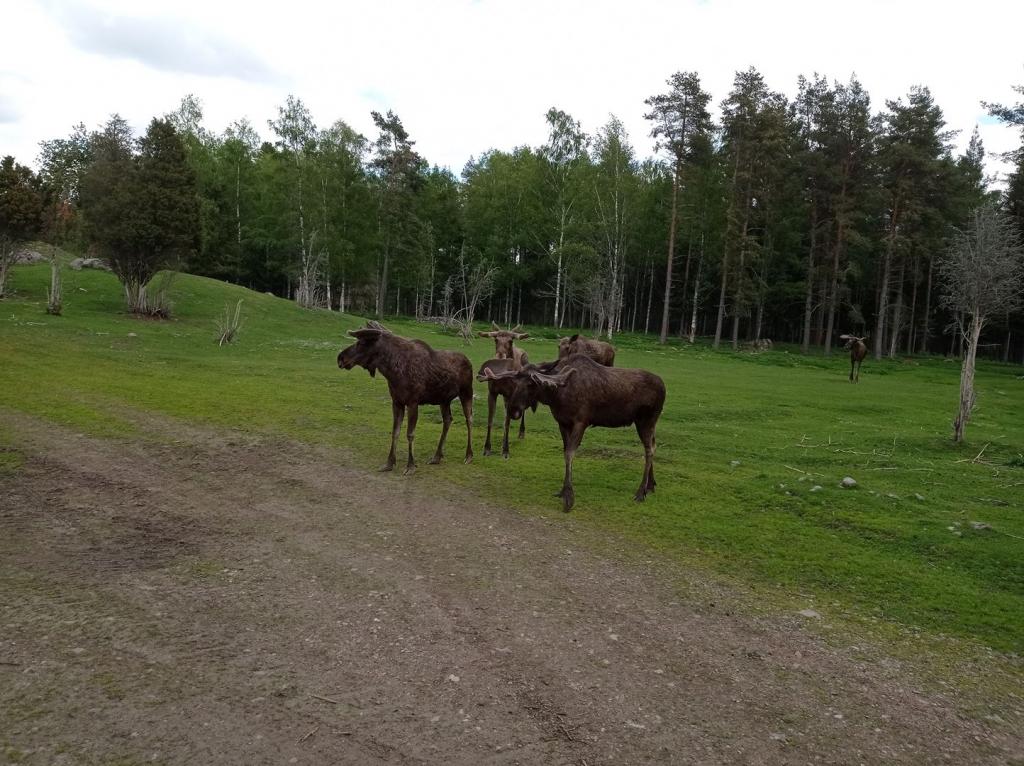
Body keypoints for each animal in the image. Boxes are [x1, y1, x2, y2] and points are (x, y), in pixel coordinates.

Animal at [339, 319, 475, 473]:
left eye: (361, 342)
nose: (340, 358)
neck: (392, 372)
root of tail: (469, 362)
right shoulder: (397, 402)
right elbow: (395, 432)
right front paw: (389, 463)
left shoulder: (413, 402)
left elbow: (410, 434)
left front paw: (410, 465)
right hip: (444, 400)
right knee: (448, 420)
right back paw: (437, 456)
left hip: (466, 392)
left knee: (469, 419)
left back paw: (469, 455)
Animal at [477, 321, 532, 458]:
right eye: (496, 339)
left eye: (511, 340)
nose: (500, 356)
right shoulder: (492, 393)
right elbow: (490, 420)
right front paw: (487, 448)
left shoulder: (510, 394)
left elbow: (507, 423)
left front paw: (506, 450)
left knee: (523, 409)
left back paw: (521, 432)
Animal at [479, 354, 663, 512]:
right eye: (515, 382)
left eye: (532, 384)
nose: (513, 410)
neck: (557, 395)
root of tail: (663, 386)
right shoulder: (563, 423)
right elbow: (565, 452)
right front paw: (562, 491)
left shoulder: (581, 422)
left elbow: (569, 454)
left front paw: (569, 497)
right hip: (648, 423)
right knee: (653, 446)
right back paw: (650, 485)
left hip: (645, 421)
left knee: (649, 450)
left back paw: (640, 492)